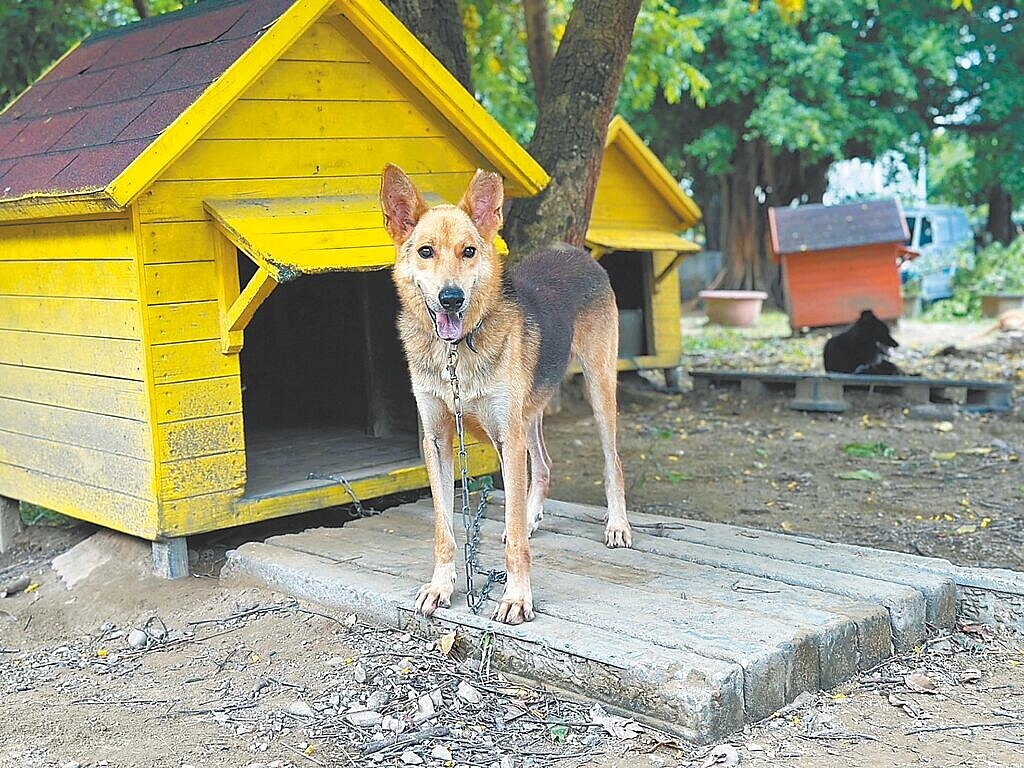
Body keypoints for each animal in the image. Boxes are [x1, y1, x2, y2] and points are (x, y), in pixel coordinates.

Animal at [378, 163, 630, 626]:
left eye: (468, 252)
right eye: (425, 252)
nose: (451, 299)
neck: (456, 352)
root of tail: (575, 253)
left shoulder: (506, 440)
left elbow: (512, 540)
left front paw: (516, 597)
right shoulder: (437, 440)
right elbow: (444, 528)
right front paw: (441, 586)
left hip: (598, 389)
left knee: (613, 463)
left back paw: (617, 525)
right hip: (526, 416)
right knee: (544, 465)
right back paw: (531, 516)